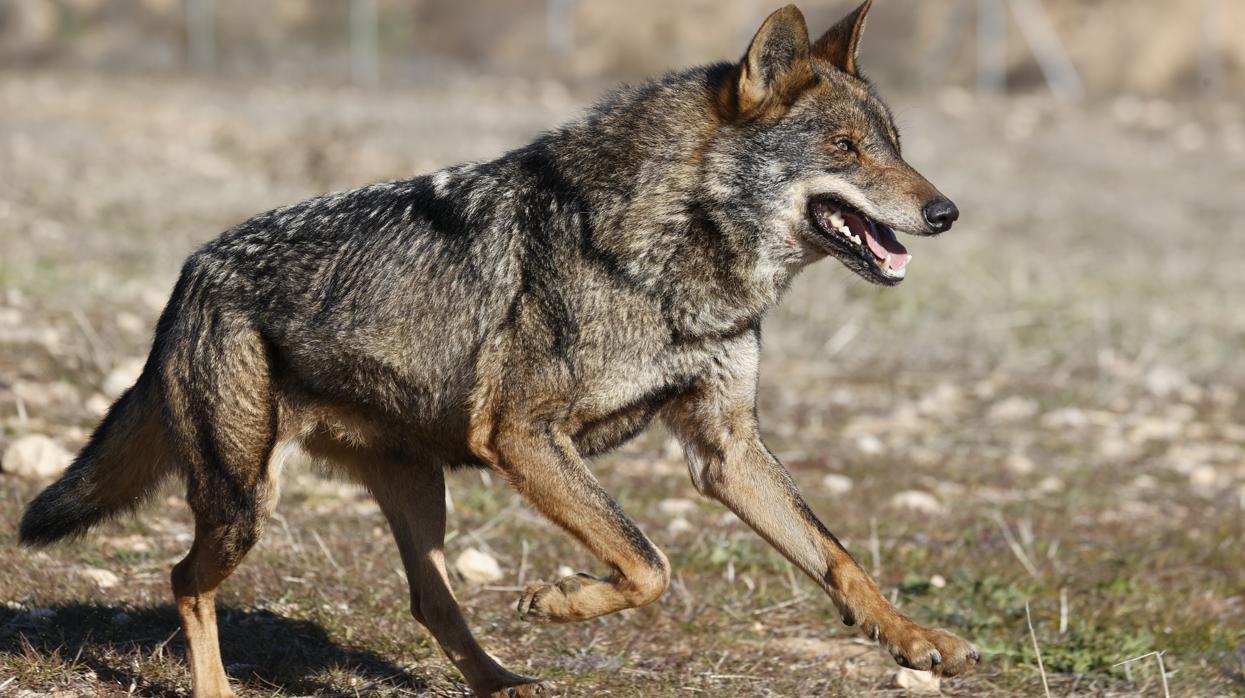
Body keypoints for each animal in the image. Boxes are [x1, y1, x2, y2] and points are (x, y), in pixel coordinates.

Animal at [14, 2, 976, 691]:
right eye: (845, 149)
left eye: (896, 146)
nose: (945, 212)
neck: (675, 261)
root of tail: (191, 271)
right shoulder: (522, 436)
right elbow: (649, 562)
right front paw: (560, 600)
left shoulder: (725, 449)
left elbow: (836, 556)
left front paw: (914, 639)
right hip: (246, 504)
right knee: (183, 581)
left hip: (417, 497)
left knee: (429, 606)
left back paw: (504, 682)